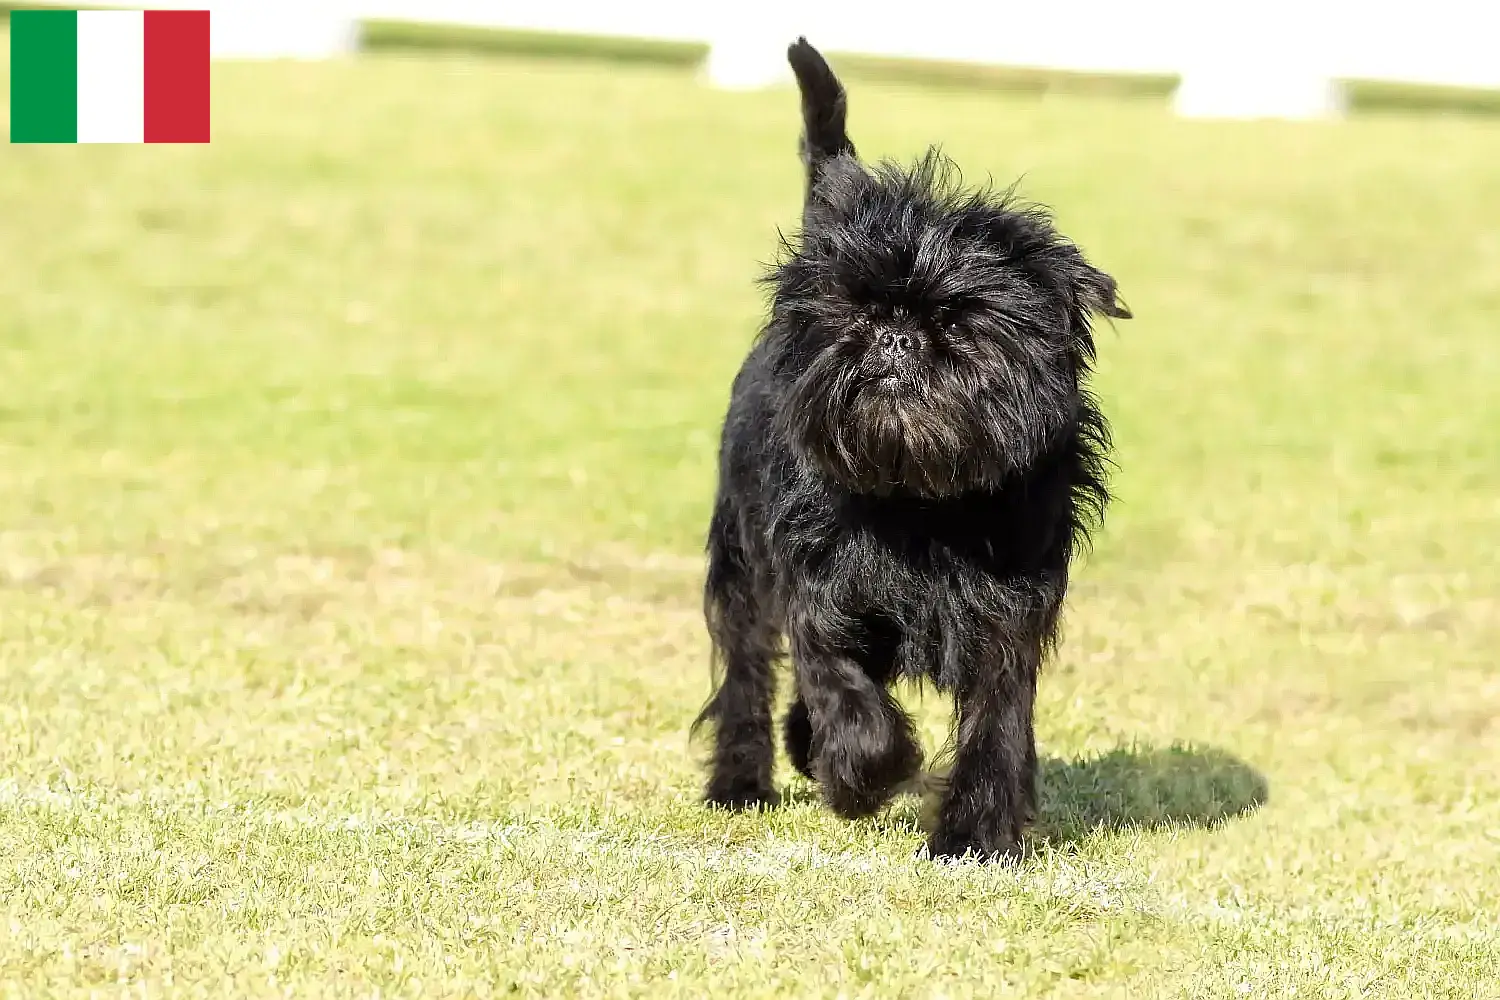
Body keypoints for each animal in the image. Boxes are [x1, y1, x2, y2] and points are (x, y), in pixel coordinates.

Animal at [696, 39, 1128, 863]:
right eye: (858, 311)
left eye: (958, 321)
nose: (895, 337)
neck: (922, 502)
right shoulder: (816, 588)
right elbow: (842, 691)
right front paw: (863, 776)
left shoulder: (1010, 612)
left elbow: (996, 722)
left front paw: (975, 836)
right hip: (741, 556)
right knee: (747, 667)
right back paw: (743, 781)